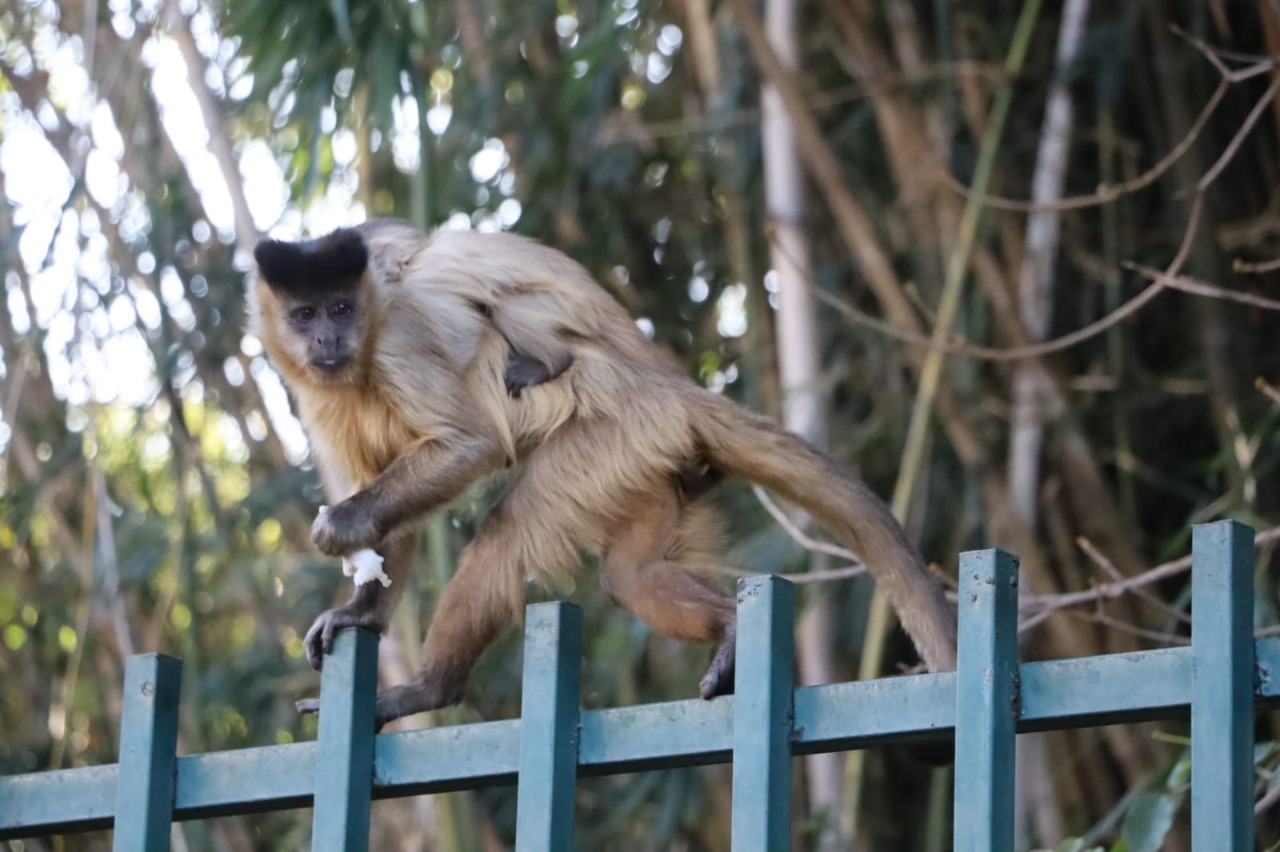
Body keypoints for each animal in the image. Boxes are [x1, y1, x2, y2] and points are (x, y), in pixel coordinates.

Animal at [247, 218, 952, 721]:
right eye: (306, 314)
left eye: (341, 308)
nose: (327, 339)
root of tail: (666, 390)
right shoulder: (317, 392)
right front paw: (359, 614)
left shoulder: (397, 339)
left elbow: (468, 445)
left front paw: (342, 527)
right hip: (649, 463)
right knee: (630, 577)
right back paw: (729, 625)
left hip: (615, 438)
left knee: (510, 528)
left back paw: (430, 689)